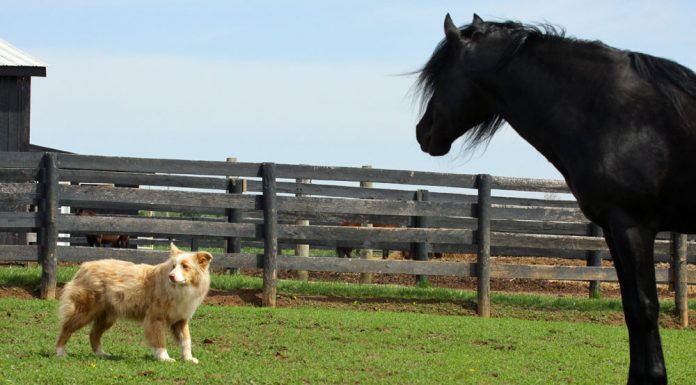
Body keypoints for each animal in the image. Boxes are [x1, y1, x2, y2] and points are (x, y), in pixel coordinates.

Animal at [416, 13, 692, 382]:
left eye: (441, 75)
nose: (422, 130)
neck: (616, 113)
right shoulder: (613, 229)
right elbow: (631, 307)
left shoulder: (634, 226)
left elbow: (645, 309)